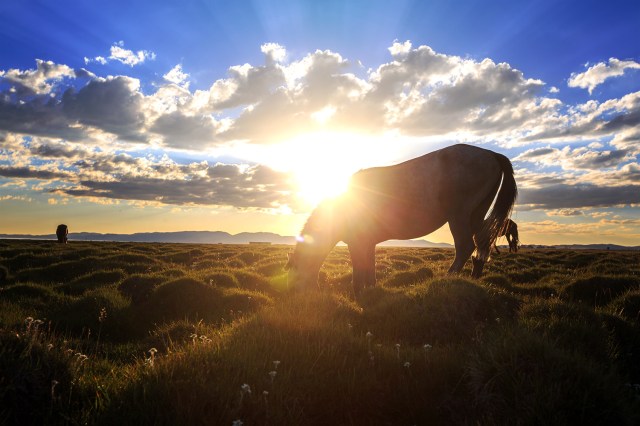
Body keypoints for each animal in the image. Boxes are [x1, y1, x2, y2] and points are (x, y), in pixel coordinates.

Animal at [285, 143, 518, 295]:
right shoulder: (367, 242)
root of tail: (491, 154)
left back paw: (449, 277)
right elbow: (369, 266)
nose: (302, 297)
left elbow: (359, 267)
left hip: (459, 215)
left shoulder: (358, 242)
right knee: (481, 244)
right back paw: (474, 277)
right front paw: (370, 289)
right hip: (477, 213)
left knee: (465, 246)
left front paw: (358, 291)